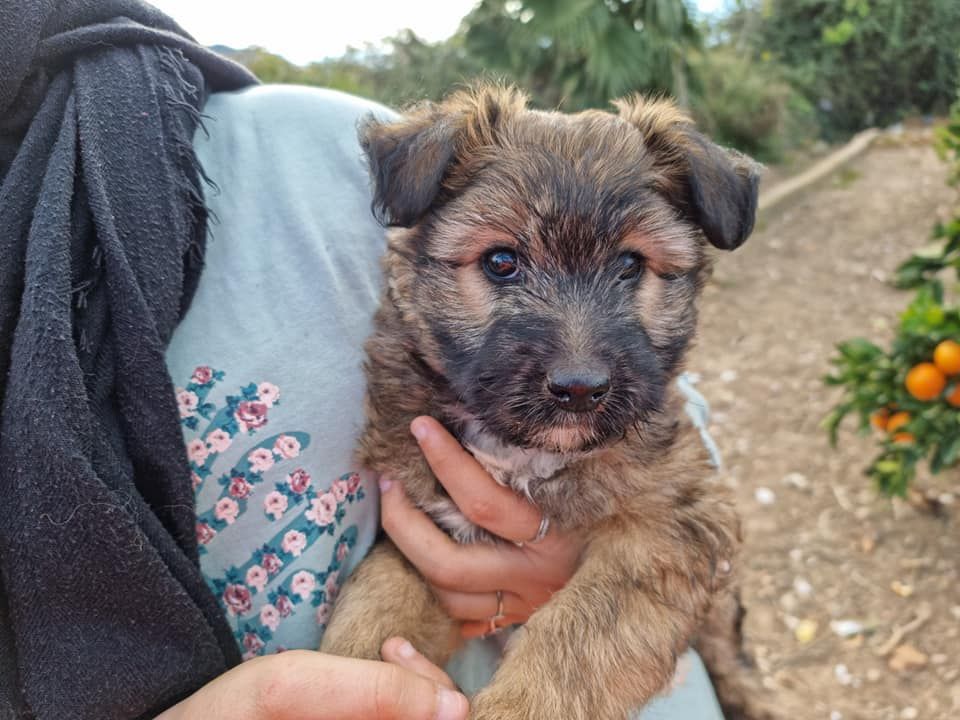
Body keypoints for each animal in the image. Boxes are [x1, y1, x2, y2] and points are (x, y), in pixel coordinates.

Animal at [322, 86, 764, 720]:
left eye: (630, 265)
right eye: (501, 261)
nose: (579, 388)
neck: (524, 454)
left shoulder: (672, 523)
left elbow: (586, 630)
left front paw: (521, 703)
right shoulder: (428, 526)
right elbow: (376, 601)